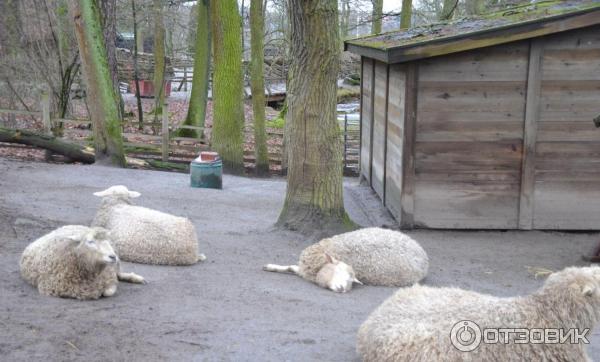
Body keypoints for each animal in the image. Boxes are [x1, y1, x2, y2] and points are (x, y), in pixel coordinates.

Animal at [262, 228, 426, 292]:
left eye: (351, 279)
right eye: (339, 271)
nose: (342, 289)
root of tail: (422, 252)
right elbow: (290, 267)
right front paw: (269, 266)